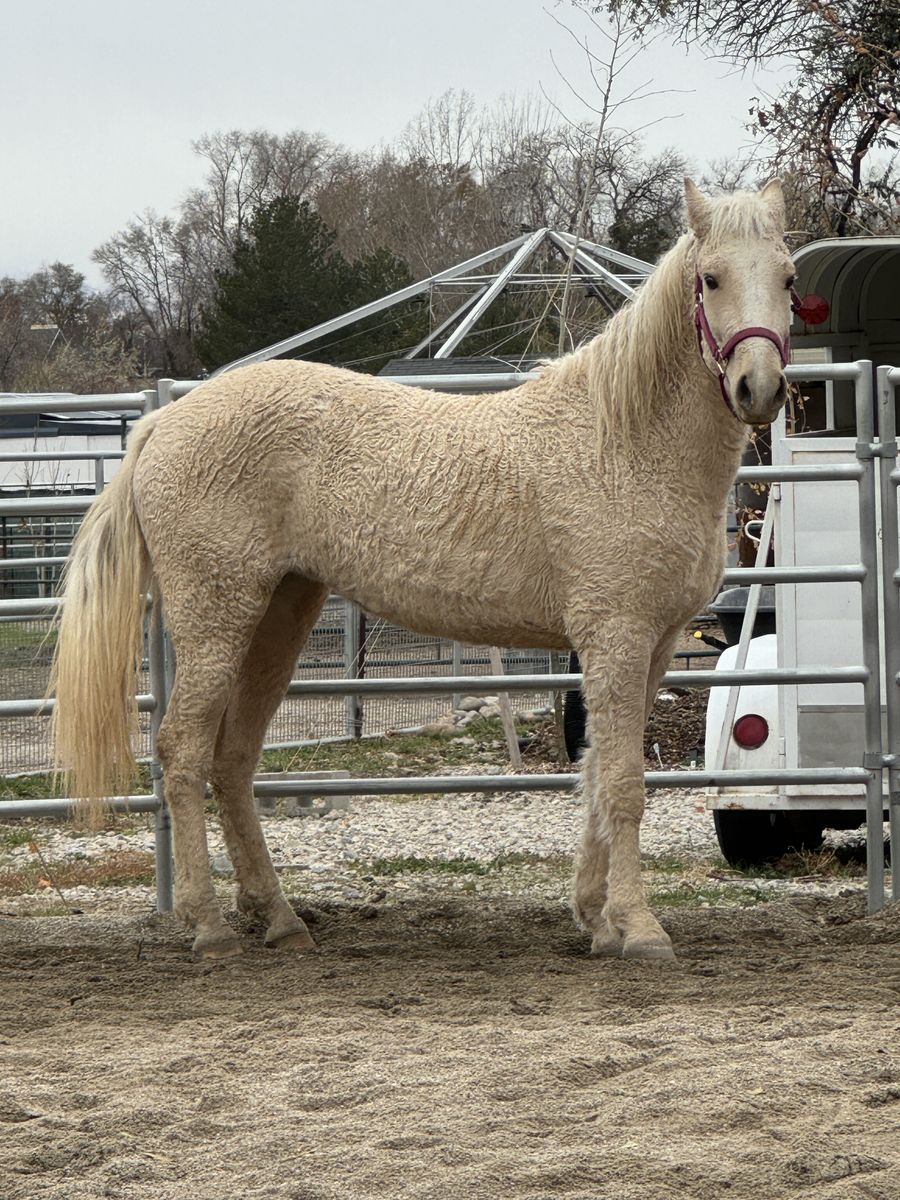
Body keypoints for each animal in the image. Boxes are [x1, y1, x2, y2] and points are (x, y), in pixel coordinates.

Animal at [50, 179, 795, 962]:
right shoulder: (615, 636)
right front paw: (641, 928)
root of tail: (166, 422)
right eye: (710, 279)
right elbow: (622, 782)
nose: (759, 386)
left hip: (279, 615)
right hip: (215, 618)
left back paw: (278, 918)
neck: (622, 441)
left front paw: (595, 918)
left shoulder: (653, 645)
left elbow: (597, 773)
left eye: (787, 279)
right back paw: (209, 925)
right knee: (184, 751)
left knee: (234, 760)